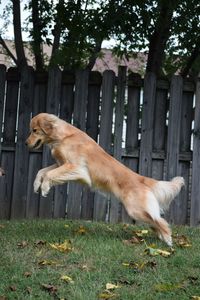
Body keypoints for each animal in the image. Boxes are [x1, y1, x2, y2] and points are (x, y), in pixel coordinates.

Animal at [26, 112, 184, 246]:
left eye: (34, 130)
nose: (26, 143)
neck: (63, 136)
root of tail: (140, 178)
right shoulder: (61, 164)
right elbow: (41, 171)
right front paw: (36, 185)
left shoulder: (77, 168)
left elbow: (49, 174)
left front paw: (44, 188)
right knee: (155, 222)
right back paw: (162, 237)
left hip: (135, 210)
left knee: (160, 221)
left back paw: (168, 240)